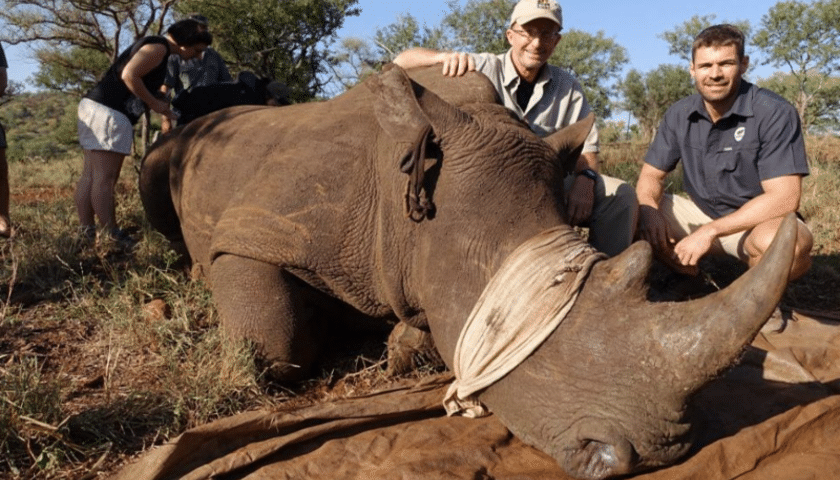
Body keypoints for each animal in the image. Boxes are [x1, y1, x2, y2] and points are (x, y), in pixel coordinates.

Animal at [139, 64, 796, 480]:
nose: (659, 452)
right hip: (181, 146)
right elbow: (275, 340)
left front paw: (402, 346)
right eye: (505, 317)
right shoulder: (261, 227)